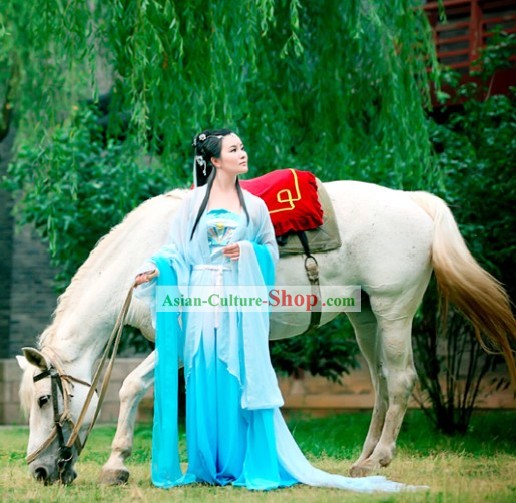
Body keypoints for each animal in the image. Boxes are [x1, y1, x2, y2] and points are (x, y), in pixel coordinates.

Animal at [17, 180, 516, 484]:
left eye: (43, 400)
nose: (40, 473)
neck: (143, 258)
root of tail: (414, 201)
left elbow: (130, 387)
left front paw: (116, 464)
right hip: (365, 317)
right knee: (380, 384)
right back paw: (362, 460)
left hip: (394, 312)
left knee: (402, 380)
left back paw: (381, 458)